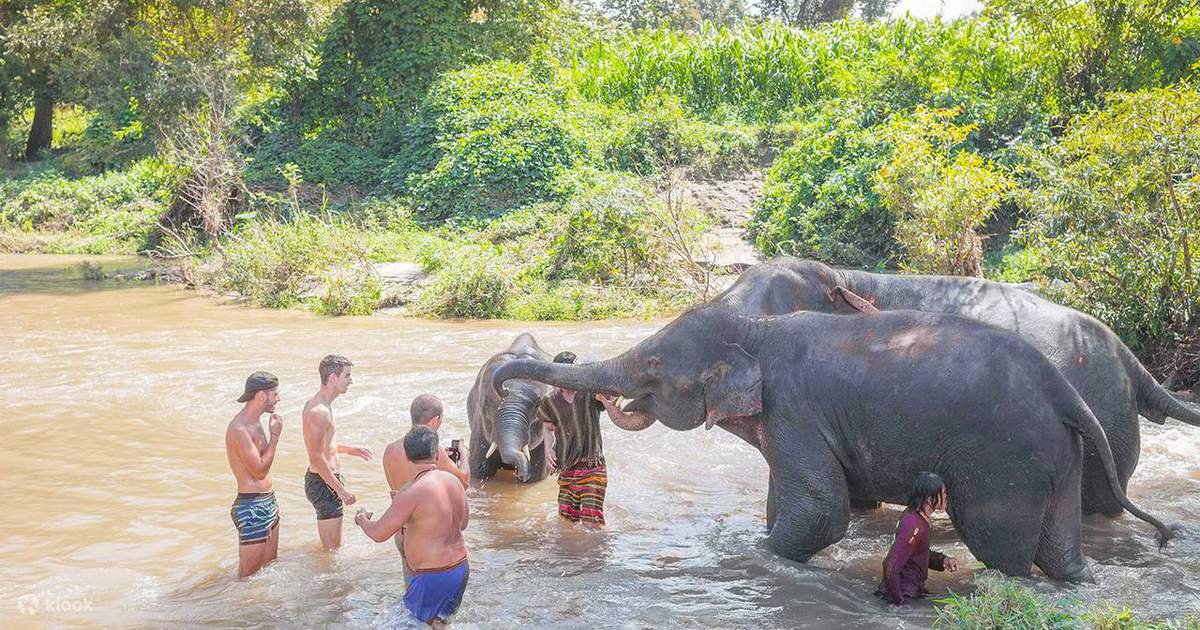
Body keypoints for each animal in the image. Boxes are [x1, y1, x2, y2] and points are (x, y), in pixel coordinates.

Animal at [491, 305, 1174, 579]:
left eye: (654, 365)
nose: (499, 381)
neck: (756, 328)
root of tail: (1066, 394)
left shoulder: (795, 410)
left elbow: (822, 510)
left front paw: (760, 560)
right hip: (1058, 455)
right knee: (1061, 552)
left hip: (1006, 460)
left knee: (1001, 545)